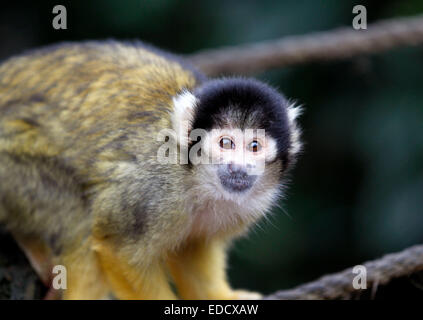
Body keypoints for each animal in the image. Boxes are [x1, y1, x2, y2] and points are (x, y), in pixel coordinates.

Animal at [0, 40, 304, 300]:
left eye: (254, 146)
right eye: (226, 143)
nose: (238, 167)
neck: (196, 176)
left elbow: (193, 248)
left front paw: (218, 297)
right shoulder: (154, 188)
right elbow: (119, 249)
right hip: (10, 168)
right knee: (77, 221)